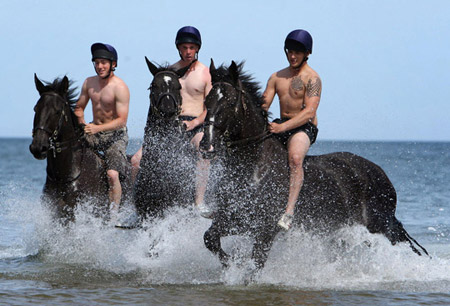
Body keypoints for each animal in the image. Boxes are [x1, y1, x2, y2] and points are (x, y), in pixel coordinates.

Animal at [199, 60, 428, 270]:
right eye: (207, 101)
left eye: (229, 102)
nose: (206, 144)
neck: (254, 169)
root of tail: (379, 172)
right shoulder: (235, 221)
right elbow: (209, 239)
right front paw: (231, 263)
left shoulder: (265, 230)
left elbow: (254, 265)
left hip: (381, 225)